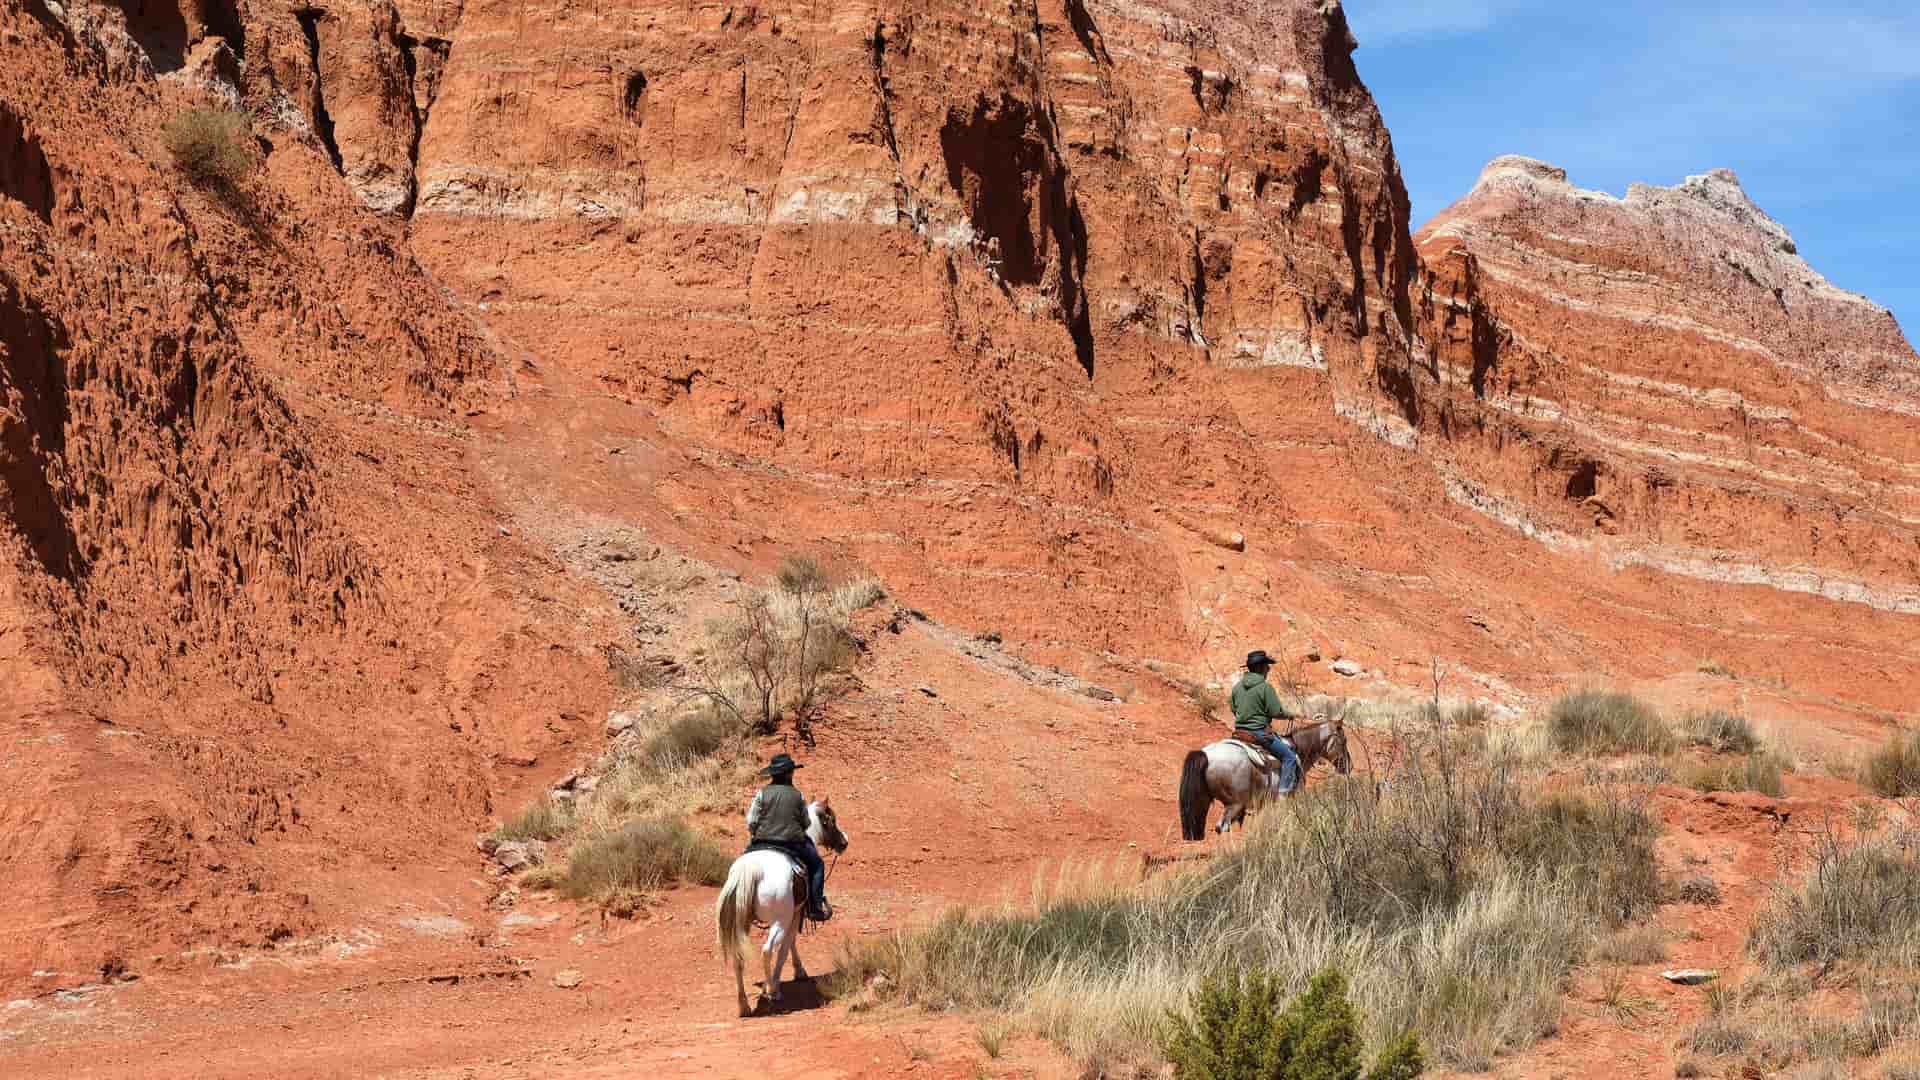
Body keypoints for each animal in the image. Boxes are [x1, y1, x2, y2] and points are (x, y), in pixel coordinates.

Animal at [714, 798, 850, 1017]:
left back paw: (744, 1005)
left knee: (738, 957)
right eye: (831, 820)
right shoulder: (794, 914)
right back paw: (771, 991)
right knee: (767, 951)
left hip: (741, 923)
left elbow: (790, 943)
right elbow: (786, 948)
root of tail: (750, 870)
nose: (844, 842)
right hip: (779, 921)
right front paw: (788, 977)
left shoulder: (793, 915)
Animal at [1177, 716, 1351, 840]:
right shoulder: (1290, 798)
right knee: (1222, 828)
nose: (1349, 765)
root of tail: (1206, 754)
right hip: (1234, 805)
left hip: (1206, 802)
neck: (1298, 751)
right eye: (1344, 741)